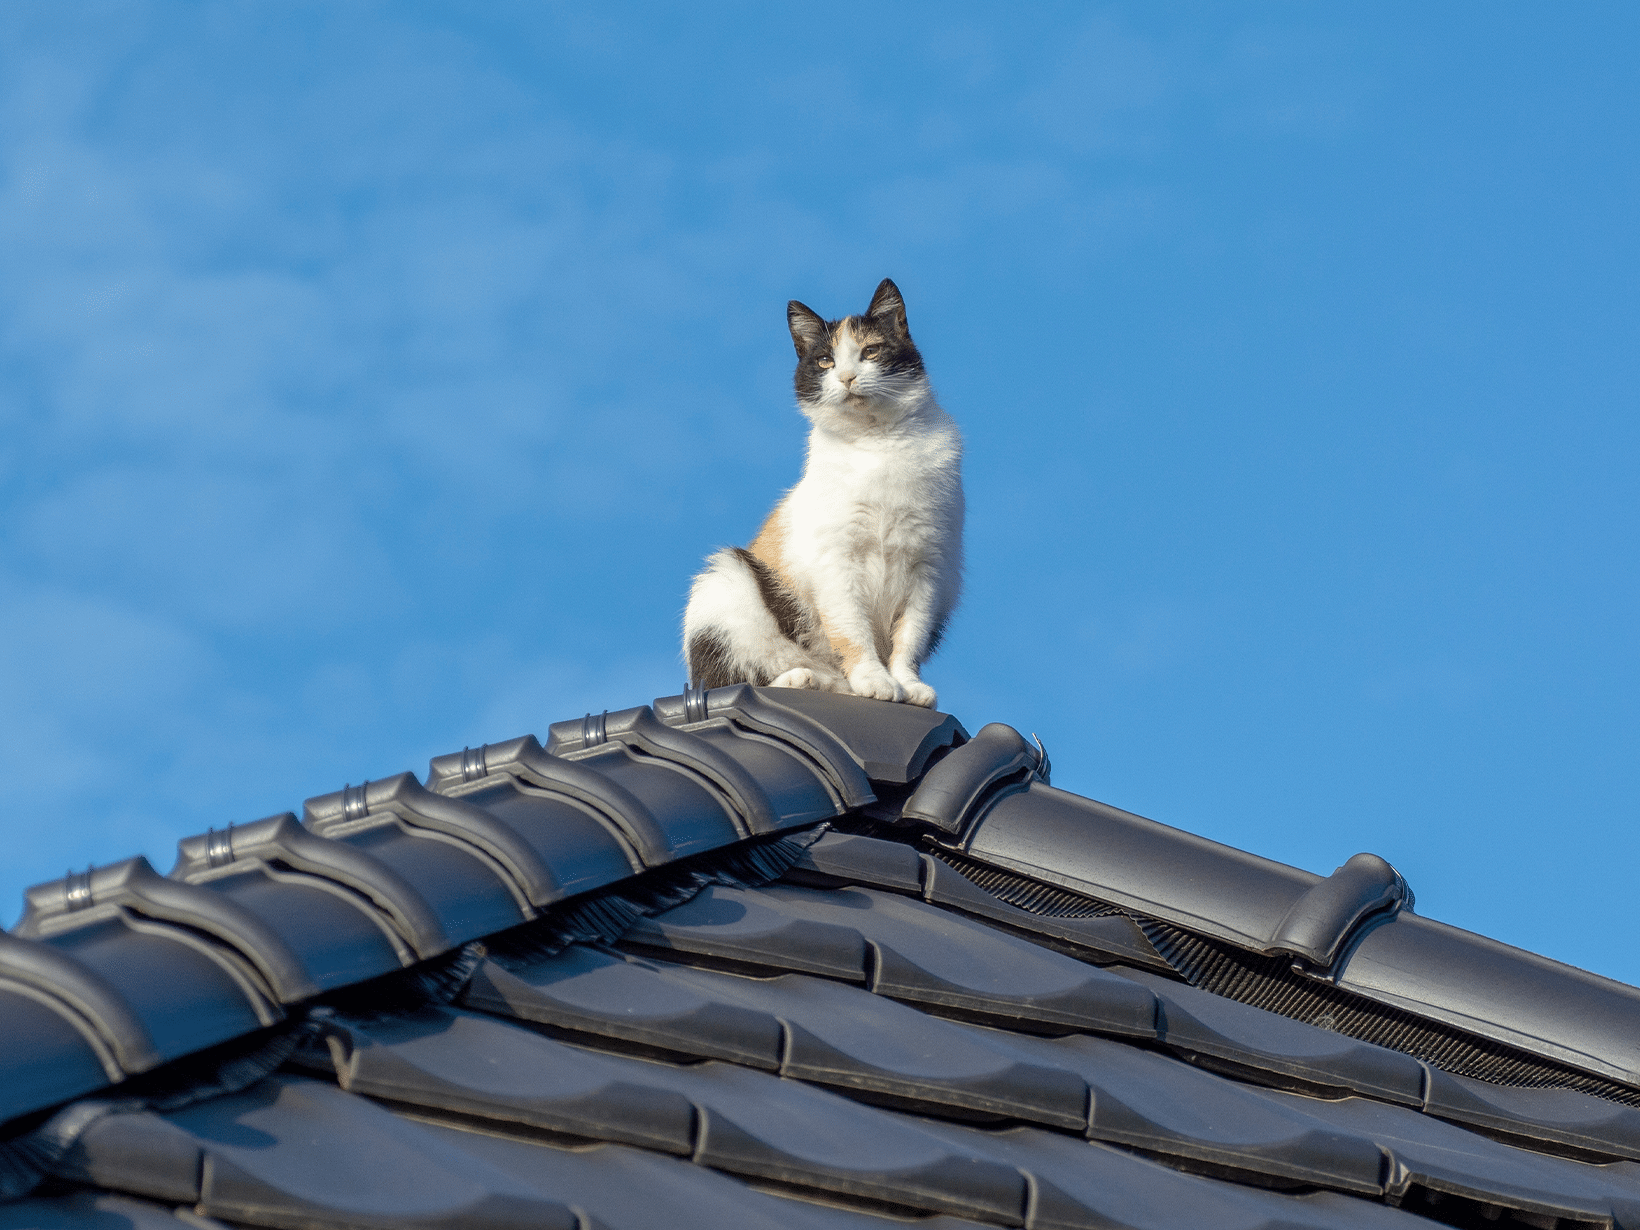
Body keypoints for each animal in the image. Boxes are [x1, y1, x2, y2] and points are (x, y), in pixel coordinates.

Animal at [678, 275, 957, 708]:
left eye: (871, 351)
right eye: (826, 361)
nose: (846, 378)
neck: (877, 442)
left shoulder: (929, 566)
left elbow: (909, 636)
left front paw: (906, 684)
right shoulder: (836, 563)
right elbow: (852, 628)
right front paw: (874, 679)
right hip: (725, 580)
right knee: (729, 678)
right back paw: (801, 679)